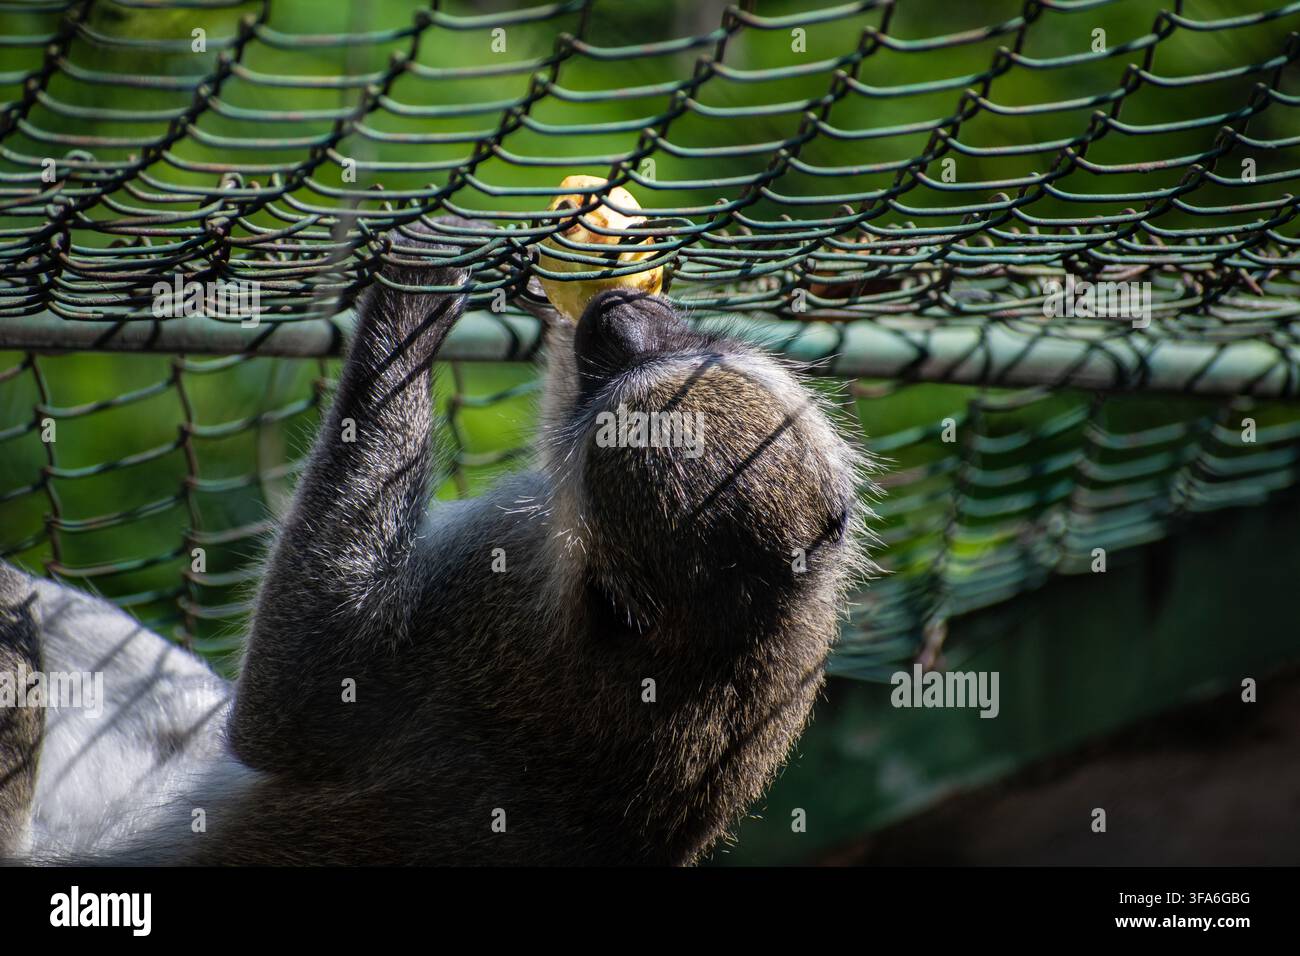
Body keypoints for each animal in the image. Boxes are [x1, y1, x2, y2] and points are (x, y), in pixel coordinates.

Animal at [0, 217, 869, 865]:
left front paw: (412, 308)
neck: (720, 639)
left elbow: (292, 711)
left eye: (622, 385)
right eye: (669, 359)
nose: (620, 323)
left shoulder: (493, 590)